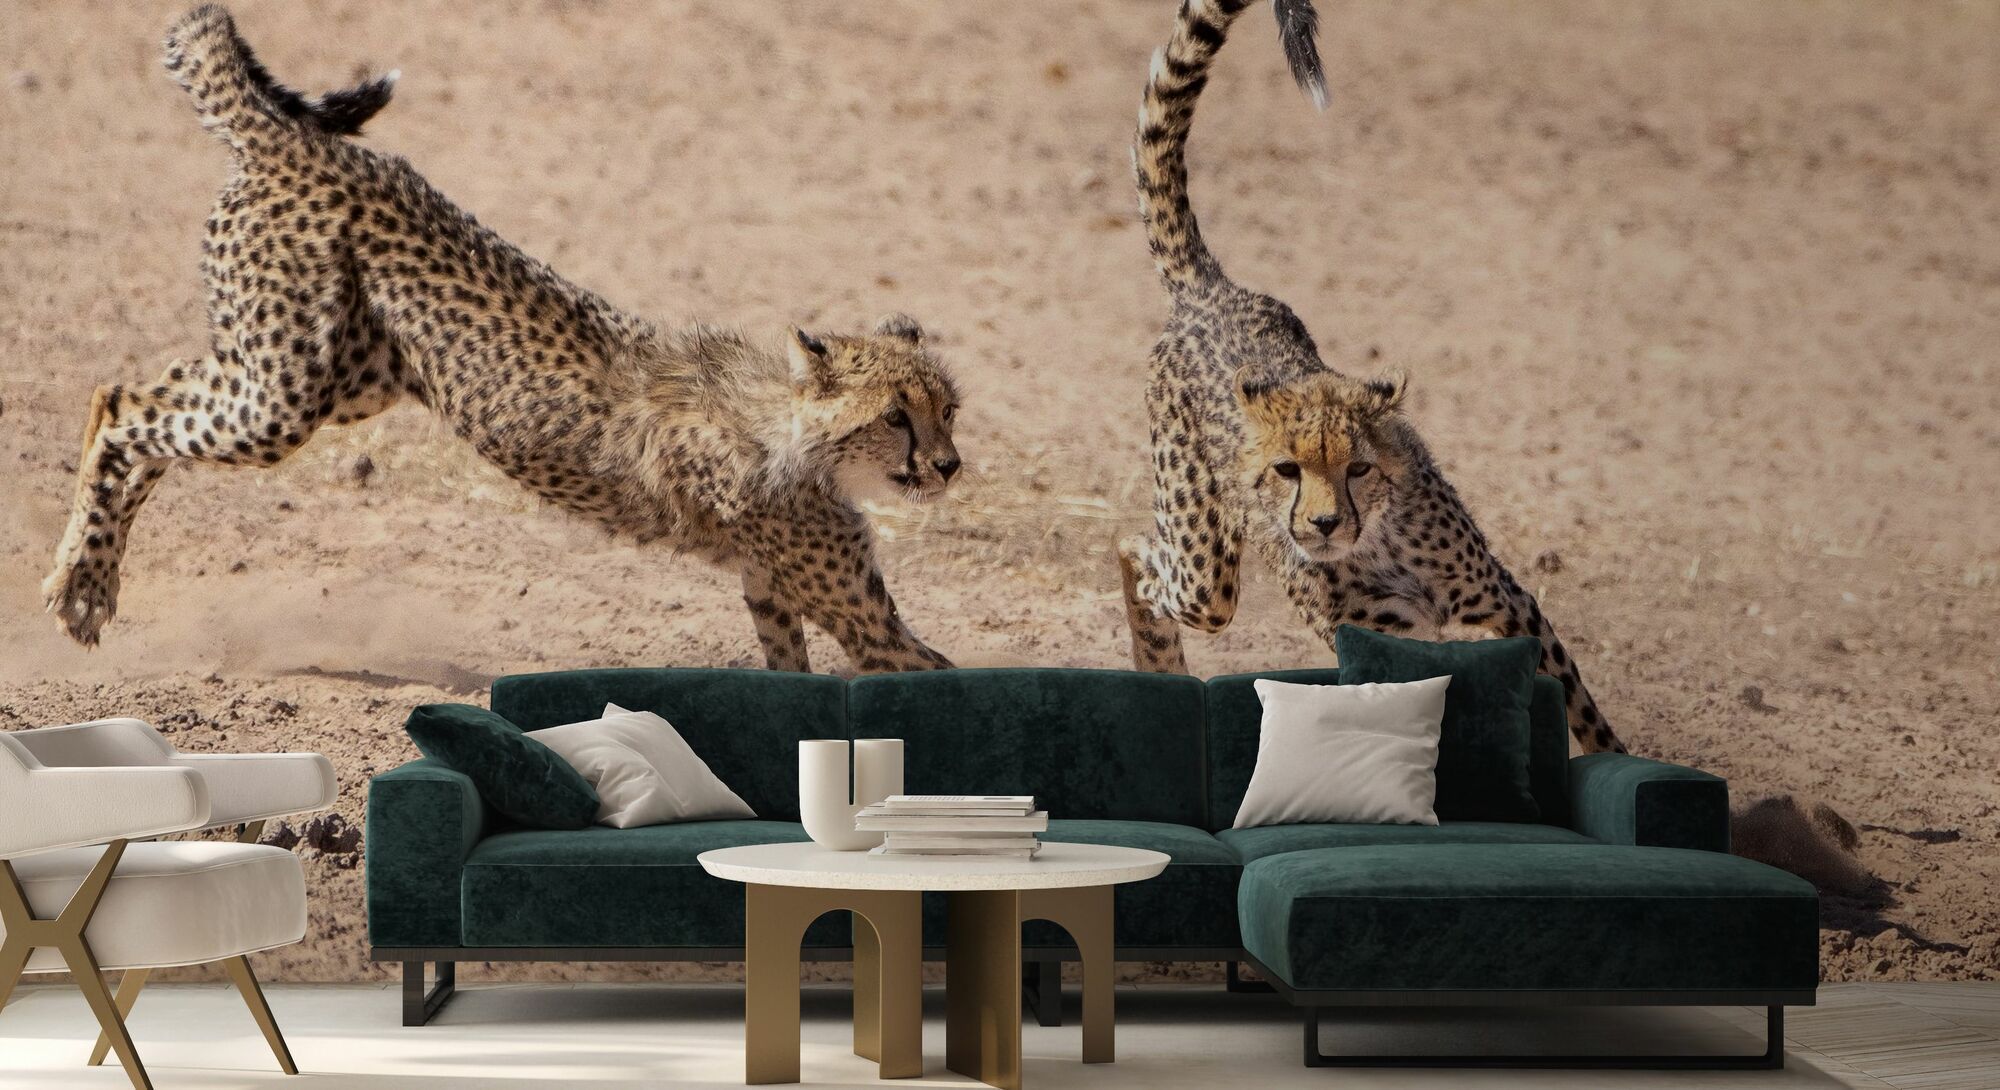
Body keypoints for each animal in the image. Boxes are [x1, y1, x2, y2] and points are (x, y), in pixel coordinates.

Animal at [42, 4, 963, 675]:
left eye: (948, 409)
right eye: (896, 416)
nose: (950, 465)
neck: (792, 430)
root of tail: (306, 145)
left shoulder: (771, 588)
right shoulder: (859, 617)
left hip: (331, 378)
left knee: (135, 391)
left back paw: (82, 582)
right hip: (285, 395)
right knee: (127, 411)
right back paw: (82, 586)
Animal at [1118, 0, 1628, 752]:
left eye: (1358, 467)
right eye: (1286, 471)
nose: (1326, 523)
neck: (1380, 540)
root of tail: (1212, 291)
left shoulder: (1509, 604)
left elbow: (1580, 708)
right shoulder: (1381, 646)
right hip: (1203, 568)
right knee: (1137, 552)